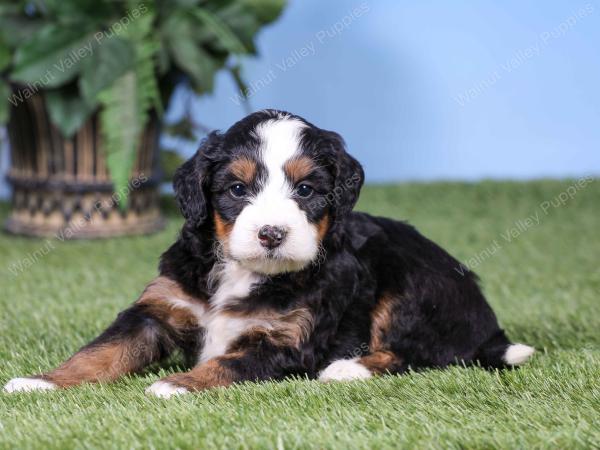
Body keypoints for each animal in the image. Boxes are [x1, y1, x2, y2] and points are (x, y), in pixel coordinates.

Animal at [3, 110, 536, 398]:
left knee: (422, 351)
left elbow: (229, 363)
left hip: (410, 283)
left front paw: (178, 384)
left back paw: (348, 368)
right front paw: (41, 382)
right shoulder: (158, 308)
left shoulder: (288, 341)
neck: (244, 271)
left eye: (306, 189)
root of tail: (488, 321)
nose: (272, 233)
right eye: (237, 189)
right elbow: (101, 350)